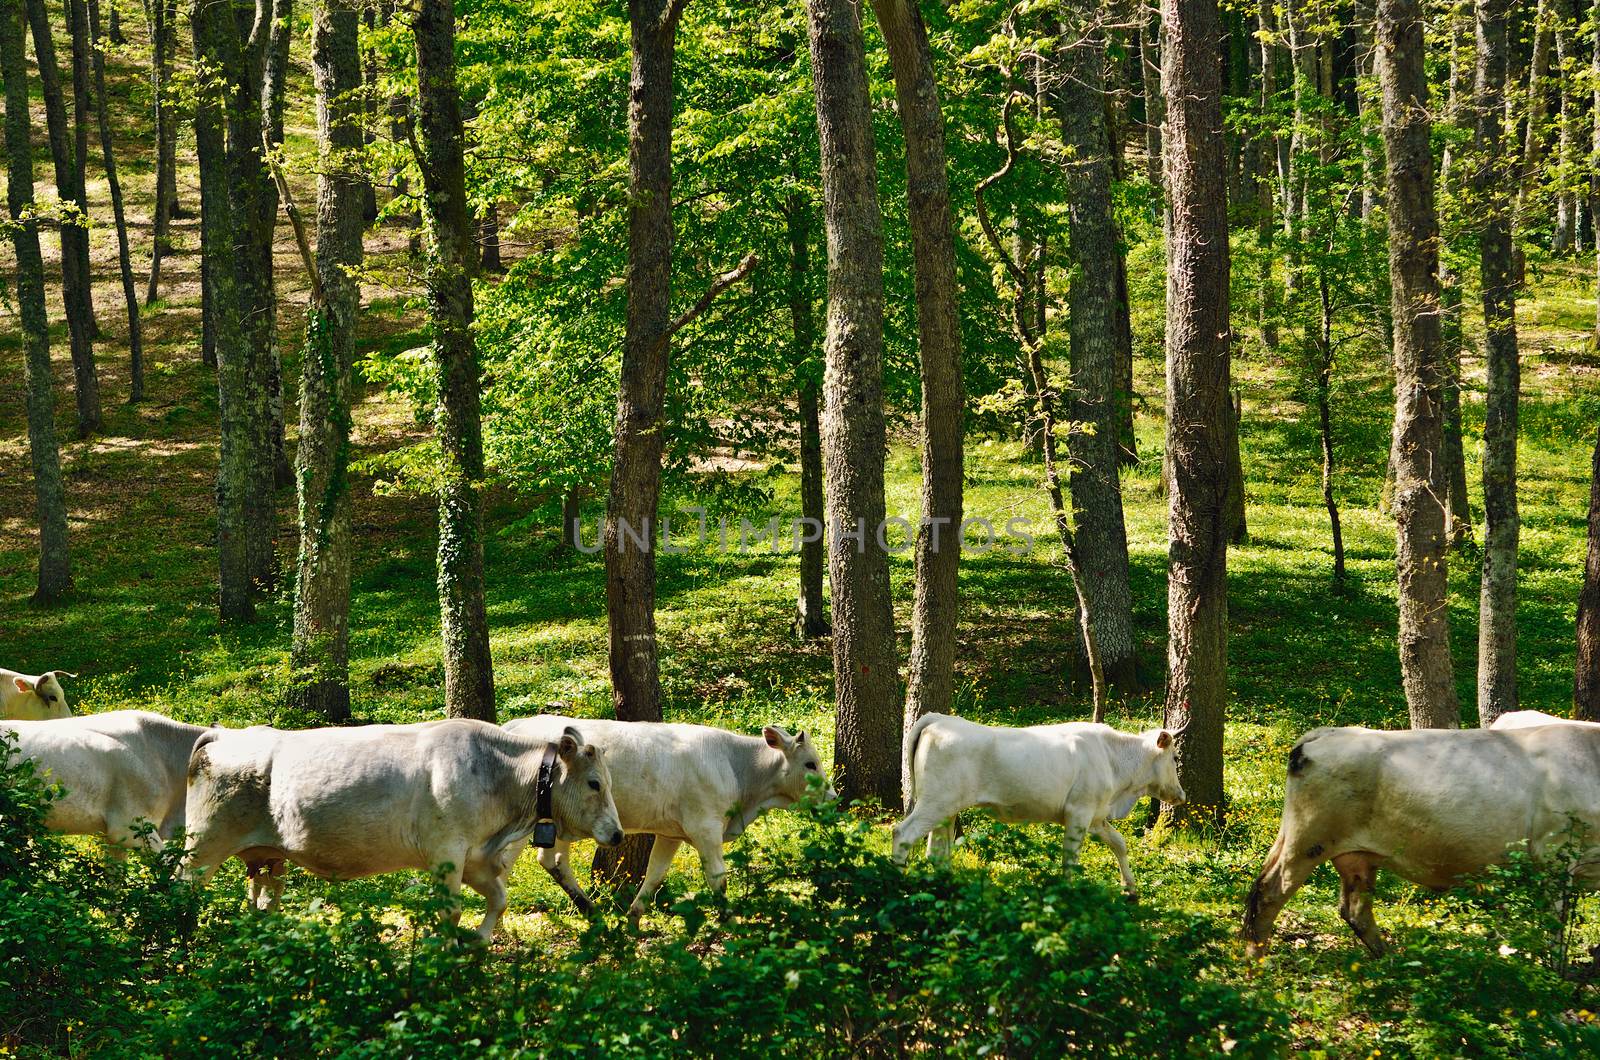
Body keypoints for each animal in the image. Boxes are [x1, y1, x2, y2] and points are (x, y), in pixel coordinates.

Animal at [181, 723, 617, 941]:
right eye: (595, 783)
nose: (616, 834)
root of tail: (226, 733)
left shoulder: (474, 857)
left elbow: (499, 898)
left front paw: (478, 941)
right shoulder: (446, 851)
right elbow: (451, 910)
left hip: (268, 857)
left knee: (262, 903)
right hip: (203, 845)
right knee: (181, 890)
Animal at [505, 714, 838, 922]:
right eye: (810, 764)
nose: (834, 797)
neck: (737, 767)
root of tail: (519, 724)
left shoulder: (671, 833)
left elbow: (654, 875)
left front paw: (632, 921)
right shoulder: (706, 828)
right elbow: (718, 880)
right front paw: (731, 925)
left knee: (554, 860)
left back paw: (591, 911)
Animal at [1241, 726, 1600, 960]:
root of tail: (1326, 733)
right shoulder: (1553, 854)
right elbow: (1555, 929)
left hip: (1354, 854)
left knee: (1355, 909)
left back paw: (1390, 960)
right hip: (1307, 840)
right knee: (1270, 891)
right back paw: (1256, 960)